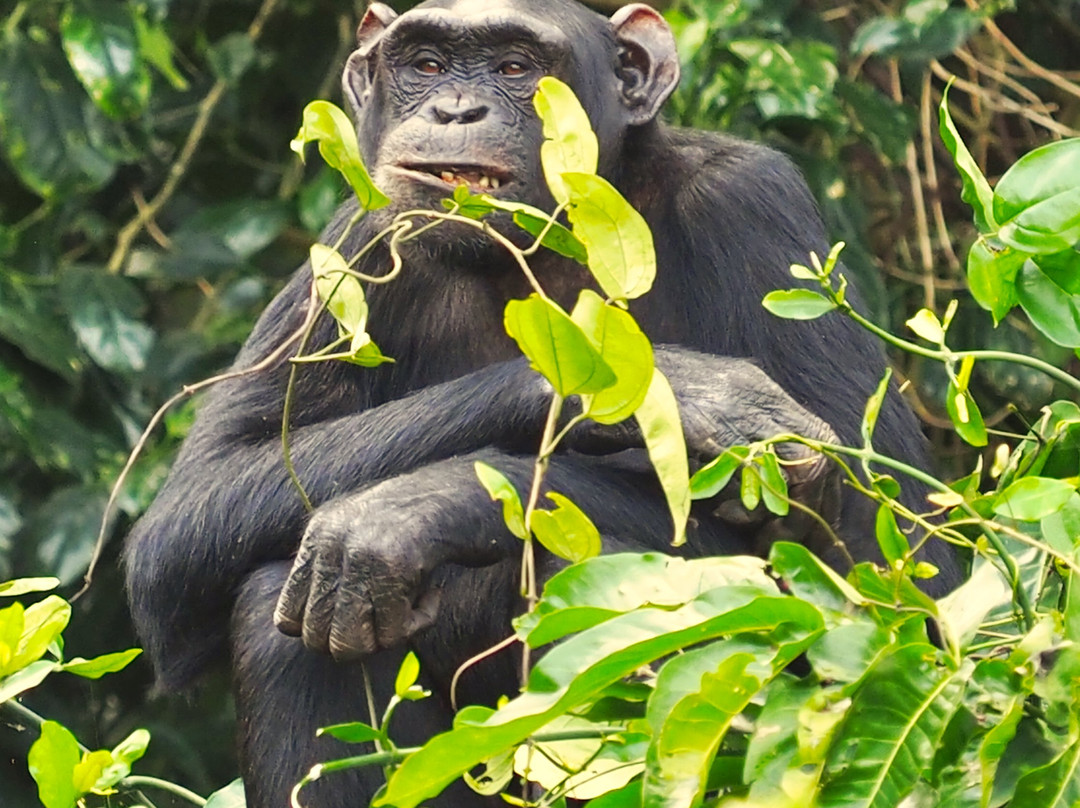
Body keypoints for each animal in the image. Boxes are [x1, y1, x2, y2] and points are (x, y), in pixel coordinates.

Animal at [124, 1, 963, 808]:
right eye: (426, 65)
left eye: (514, 67)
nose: (455, 109)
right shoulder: (357, 245)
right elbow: (187, 520)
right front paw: (683, 390)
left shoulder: (756, 206)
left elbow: (895, 577)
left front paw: (414, 509)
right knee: (283, 598)